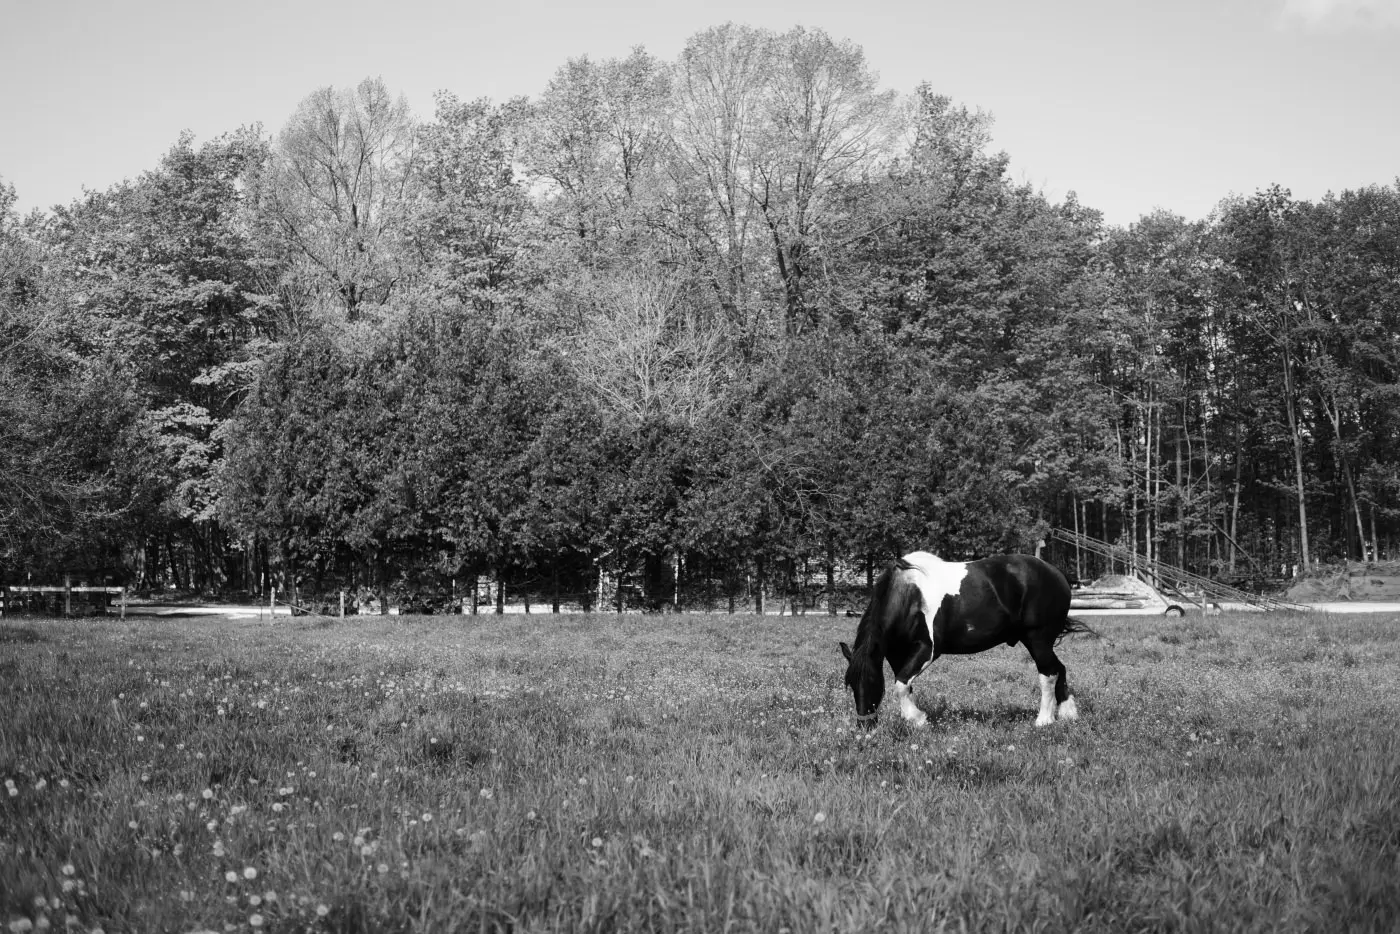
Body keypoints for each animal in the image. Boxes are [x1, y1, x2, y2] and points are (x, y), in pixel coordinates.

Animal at [840, 551, 1091, 728]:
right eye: (850, 684)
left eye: (873, 682)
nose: (865, 726)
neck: (909, 595)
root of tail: (1056, 574)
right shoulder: (896, 653)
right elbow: (903, 684)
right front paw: (912, 718)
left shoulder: (927, 650)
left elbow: (901, 684)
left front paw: (917, 719)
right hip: (1037, 641)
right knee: (1059, 668)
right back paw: (1068, 714)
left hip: (1037, 639)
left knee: (1048, 673)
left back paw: (1044, 720)